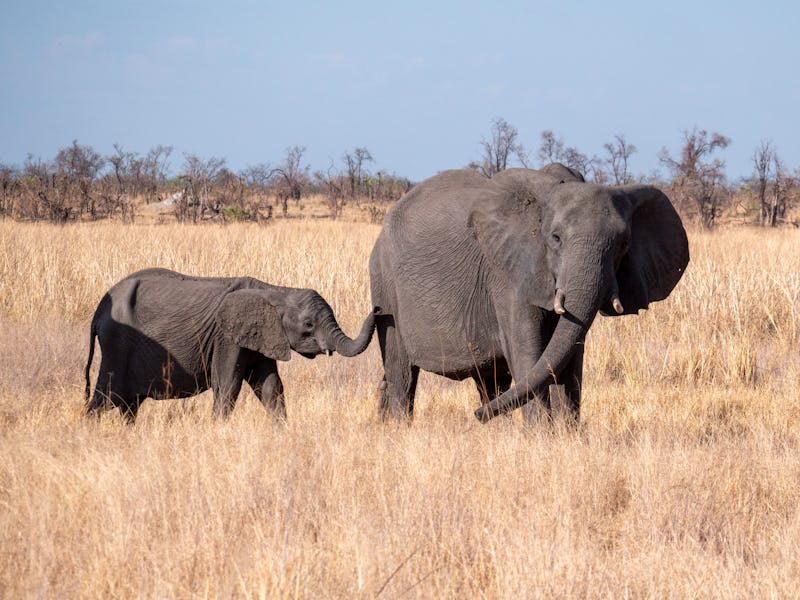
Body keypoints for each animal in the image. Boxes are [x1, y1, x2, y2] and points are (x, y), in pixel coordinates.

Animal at [84, 268, 378, 422]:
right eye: (308, 324)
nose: (378, 309)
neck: (274, 291)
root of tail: (98, 311)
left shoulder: (261, 337)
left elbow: (271, 386)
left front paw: (282, 432)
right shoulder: (226, 337)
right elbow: (227, 385)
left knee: (128, 404)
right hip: (117, 343)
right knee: (104, 397)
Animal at [369, 164, 689, 423]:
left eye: (624, 243)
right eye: (555, 238)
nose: (476, 416)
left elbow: (569, 354)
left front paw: (568, 437)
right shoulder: (508, 274)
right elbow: (528, 351)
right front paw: (541, 437)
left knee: (490, 381)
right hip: (384, 282)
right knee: (401, 374)